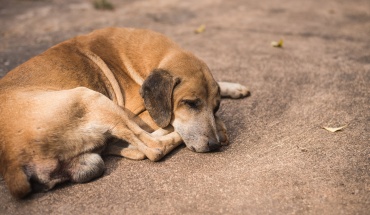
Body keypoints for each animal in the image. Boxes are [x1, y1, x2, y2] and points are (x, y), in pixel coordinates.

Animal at [0, 27, 250, 198]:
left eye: (215, 106)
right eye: (190, 103)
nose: (214, 144)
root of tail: (11, 164)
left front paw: (232, 88)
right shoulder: (139, 115)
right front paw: (218, 123)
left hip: (93, 160)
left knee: (132, 148)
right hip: (91, 97)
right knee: (153, 148)